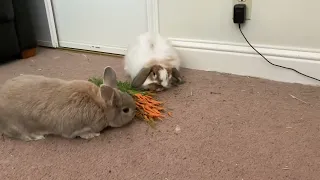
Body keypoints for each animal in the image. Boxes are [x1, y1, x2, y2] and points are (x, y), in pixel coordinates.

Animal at [0, 67, 136, 141]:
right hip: (17, 126)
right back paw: (38, 137)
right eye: (126, 110)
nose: (135, 112)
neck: (101, 106)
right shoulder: (78, 128)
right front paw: (93, 135)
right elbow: (80, 134)